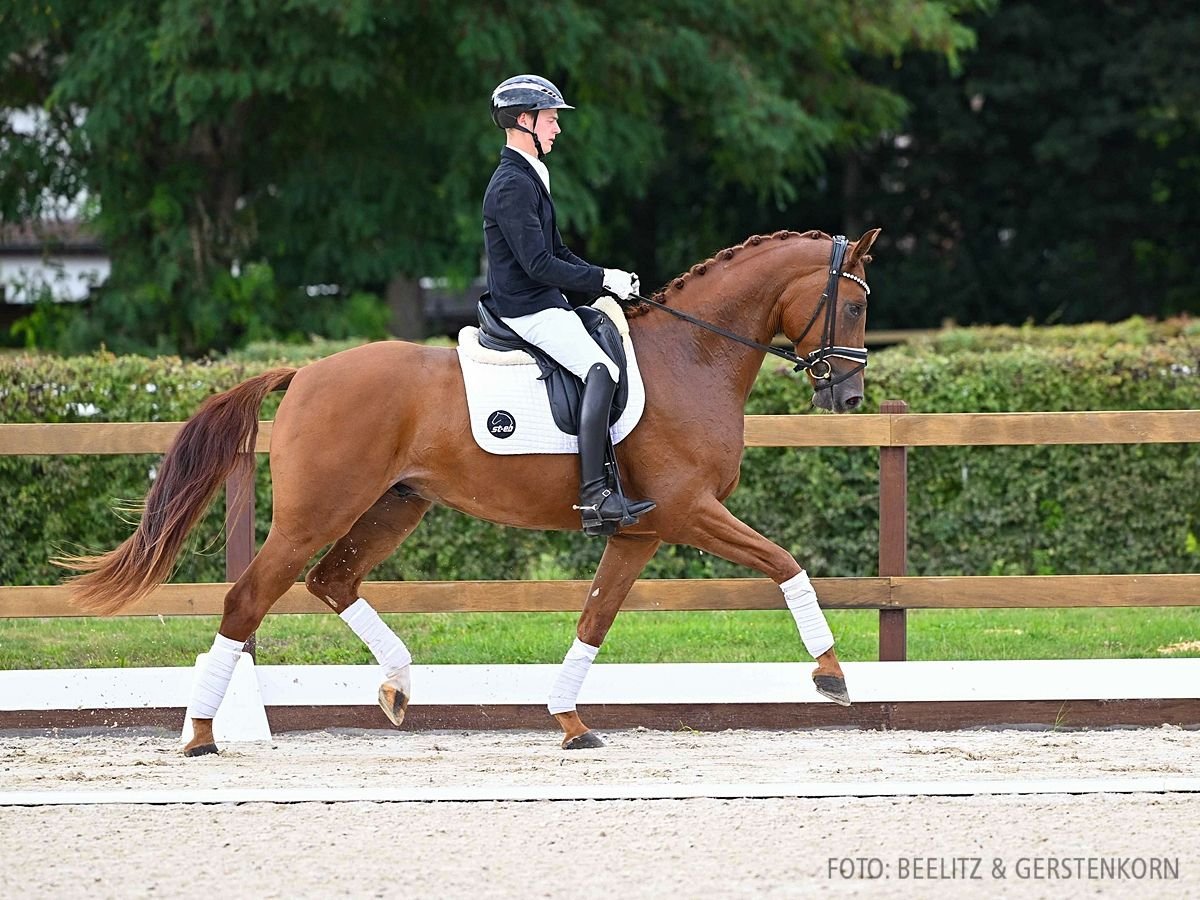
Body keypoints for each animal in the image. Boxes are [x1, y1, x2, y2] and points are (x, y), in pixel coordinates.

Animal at [58, 225, 883, 753]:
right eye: (855, 304)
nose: (847, 397)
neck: (694, 355)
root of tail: (307, 371)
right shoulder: (689, 511)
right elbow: (785, 563)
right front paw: (832, 675)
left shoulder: (643, 529)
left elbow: (595, 619)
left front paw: (570, 722)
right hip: (313, 513)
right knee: (249, 599)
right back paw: (200, 735)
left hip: (396, 504)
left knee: (332, 580)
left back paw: (395, 686)